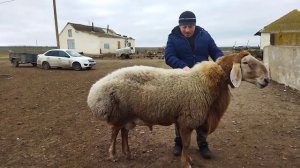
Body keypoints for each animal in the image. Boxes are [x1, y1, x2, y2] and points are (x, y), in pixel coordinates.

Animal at [86, 51, 270, 168]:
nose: (267, 80)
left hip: (128, 115)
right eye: (246, 63)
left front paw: (188, 159)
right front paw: (186, 163)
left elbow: (187, 144)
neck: (205, 82)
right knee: (114, 134)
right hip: (118, 114)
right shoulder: (187, 120)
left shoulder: (186, 120)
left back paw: (128, 154)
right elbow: (186, 144)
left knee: (123, 133)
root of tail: (94, 92)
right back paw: (113, 155)